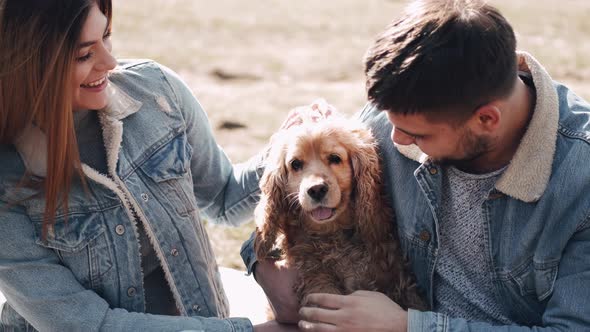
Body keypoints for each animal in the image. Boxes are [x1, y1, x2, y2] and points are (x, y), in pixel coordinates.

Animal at [256, 104, 428, 312]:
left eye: (335, 158)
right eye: (295, 164)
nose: (316, 189)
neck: (334, 234)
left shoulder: (397, 275)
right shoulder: (316, 276)